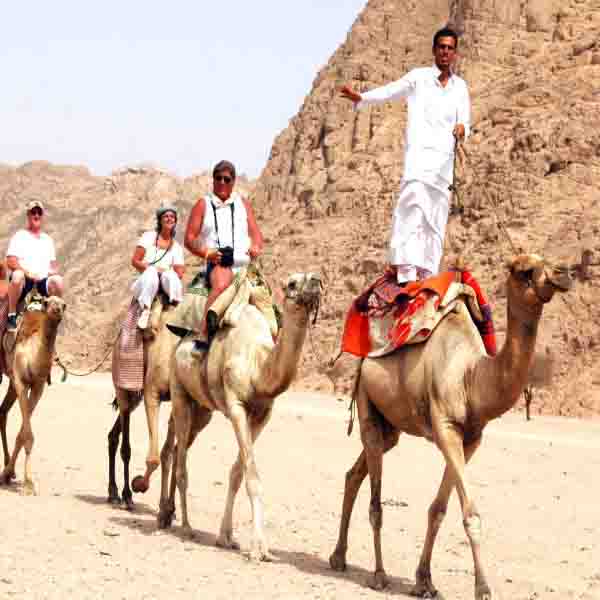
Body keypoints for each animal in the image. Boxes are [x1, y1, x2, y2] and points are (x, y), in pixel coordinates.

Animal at [0, 296, 67, 496]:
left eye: (63, 304)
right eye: (48, 302)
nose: (57, 309)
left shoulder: (37, 386)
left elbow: (23, 434)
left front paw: (9, 473)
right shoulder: (21, 382)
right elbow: (27, 435)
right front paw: (29, 484)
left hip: (11, 385)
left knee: (2, 412)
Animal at [108, 298, 179, 508]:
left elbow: (169, 453)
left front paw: (167, 506)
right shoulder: (151, 393)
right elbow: (154, 458)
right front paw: (138, 484)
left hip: (135, 397)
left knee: (113, 435)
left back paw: (113, 492)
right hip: (124, 389)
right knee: (125, 446)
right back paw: (125, 494)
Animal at [157, 272, 322, 564]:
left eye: (313, 277)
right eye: (292, 283)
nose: (316, 281)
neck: (258, 366)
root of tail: (181, 340)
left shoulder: (262, 415)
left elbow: (236, 473)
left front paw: (226, 537)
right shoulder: (236, 407)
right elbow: (252, 478)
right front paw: (259, 549)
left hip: (203, 410)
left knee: (175, 448)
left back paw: (166, 513)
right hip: (179, 391)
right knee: (181, 461)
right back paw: (185, 526)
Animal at [328, 255, 572, 600]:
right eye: (525, 270)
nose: (564, 274)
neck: (471, 376)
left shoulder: (470, 439)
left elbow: (439, 510)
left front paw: (424, 581)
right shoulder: (445, 428)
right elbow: (471, 515)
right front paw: (483, 588)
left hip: (392, 427)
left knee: (354, 474)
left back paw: (338, 557)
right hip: (366, 401)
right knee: (375, 500)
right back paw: (379, 574)